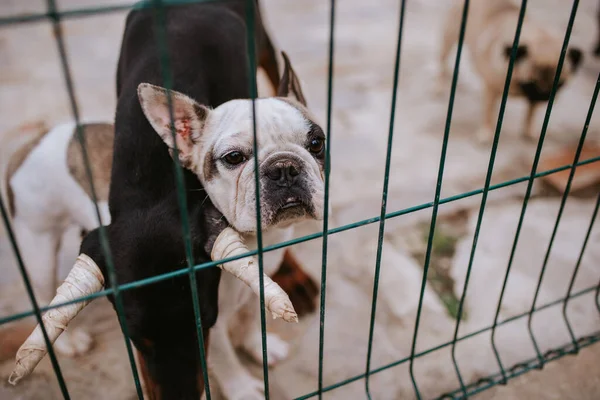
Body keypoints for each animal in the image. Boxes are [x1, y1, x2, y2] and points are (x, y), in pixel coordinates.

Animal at [438, 0, 584, 144]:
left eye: (560, 84)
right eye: (530, 83)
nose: (545, 97)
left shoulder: (533, 98)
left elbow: (531, 112)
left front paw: (528, 130)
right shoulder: (491, 90)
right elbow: (488, 113)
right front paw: (486, 132)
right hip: (450, 36)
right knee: (443, 61)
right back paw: (439, 85)